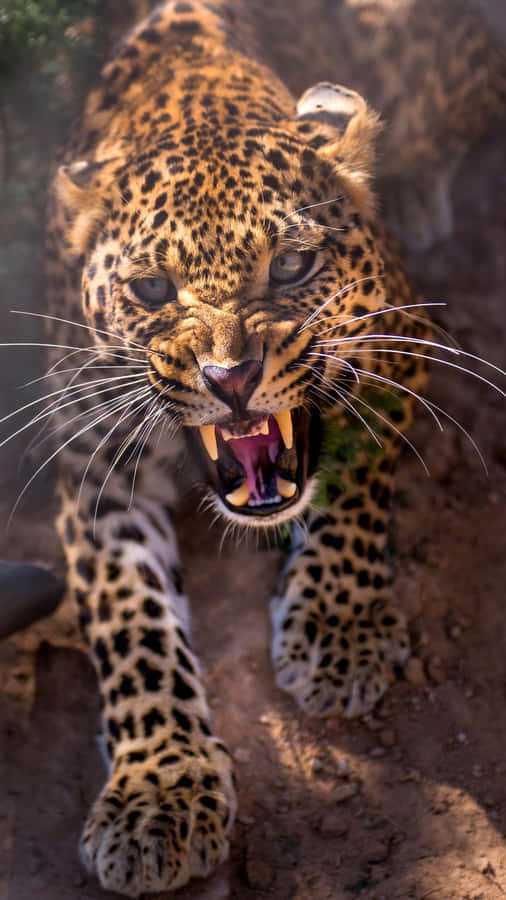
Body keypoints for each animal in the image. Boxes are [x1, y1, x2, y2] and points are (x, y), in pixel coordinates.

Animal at [40, 0, 504, 895]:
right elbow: (129, 618)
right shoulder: (92, 460)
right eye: (151, 288)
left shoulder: (398, 343)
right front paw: (158, 790)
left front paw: (337, 628)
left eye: (291, 266)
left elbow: (352, 483)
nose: (231, 378)